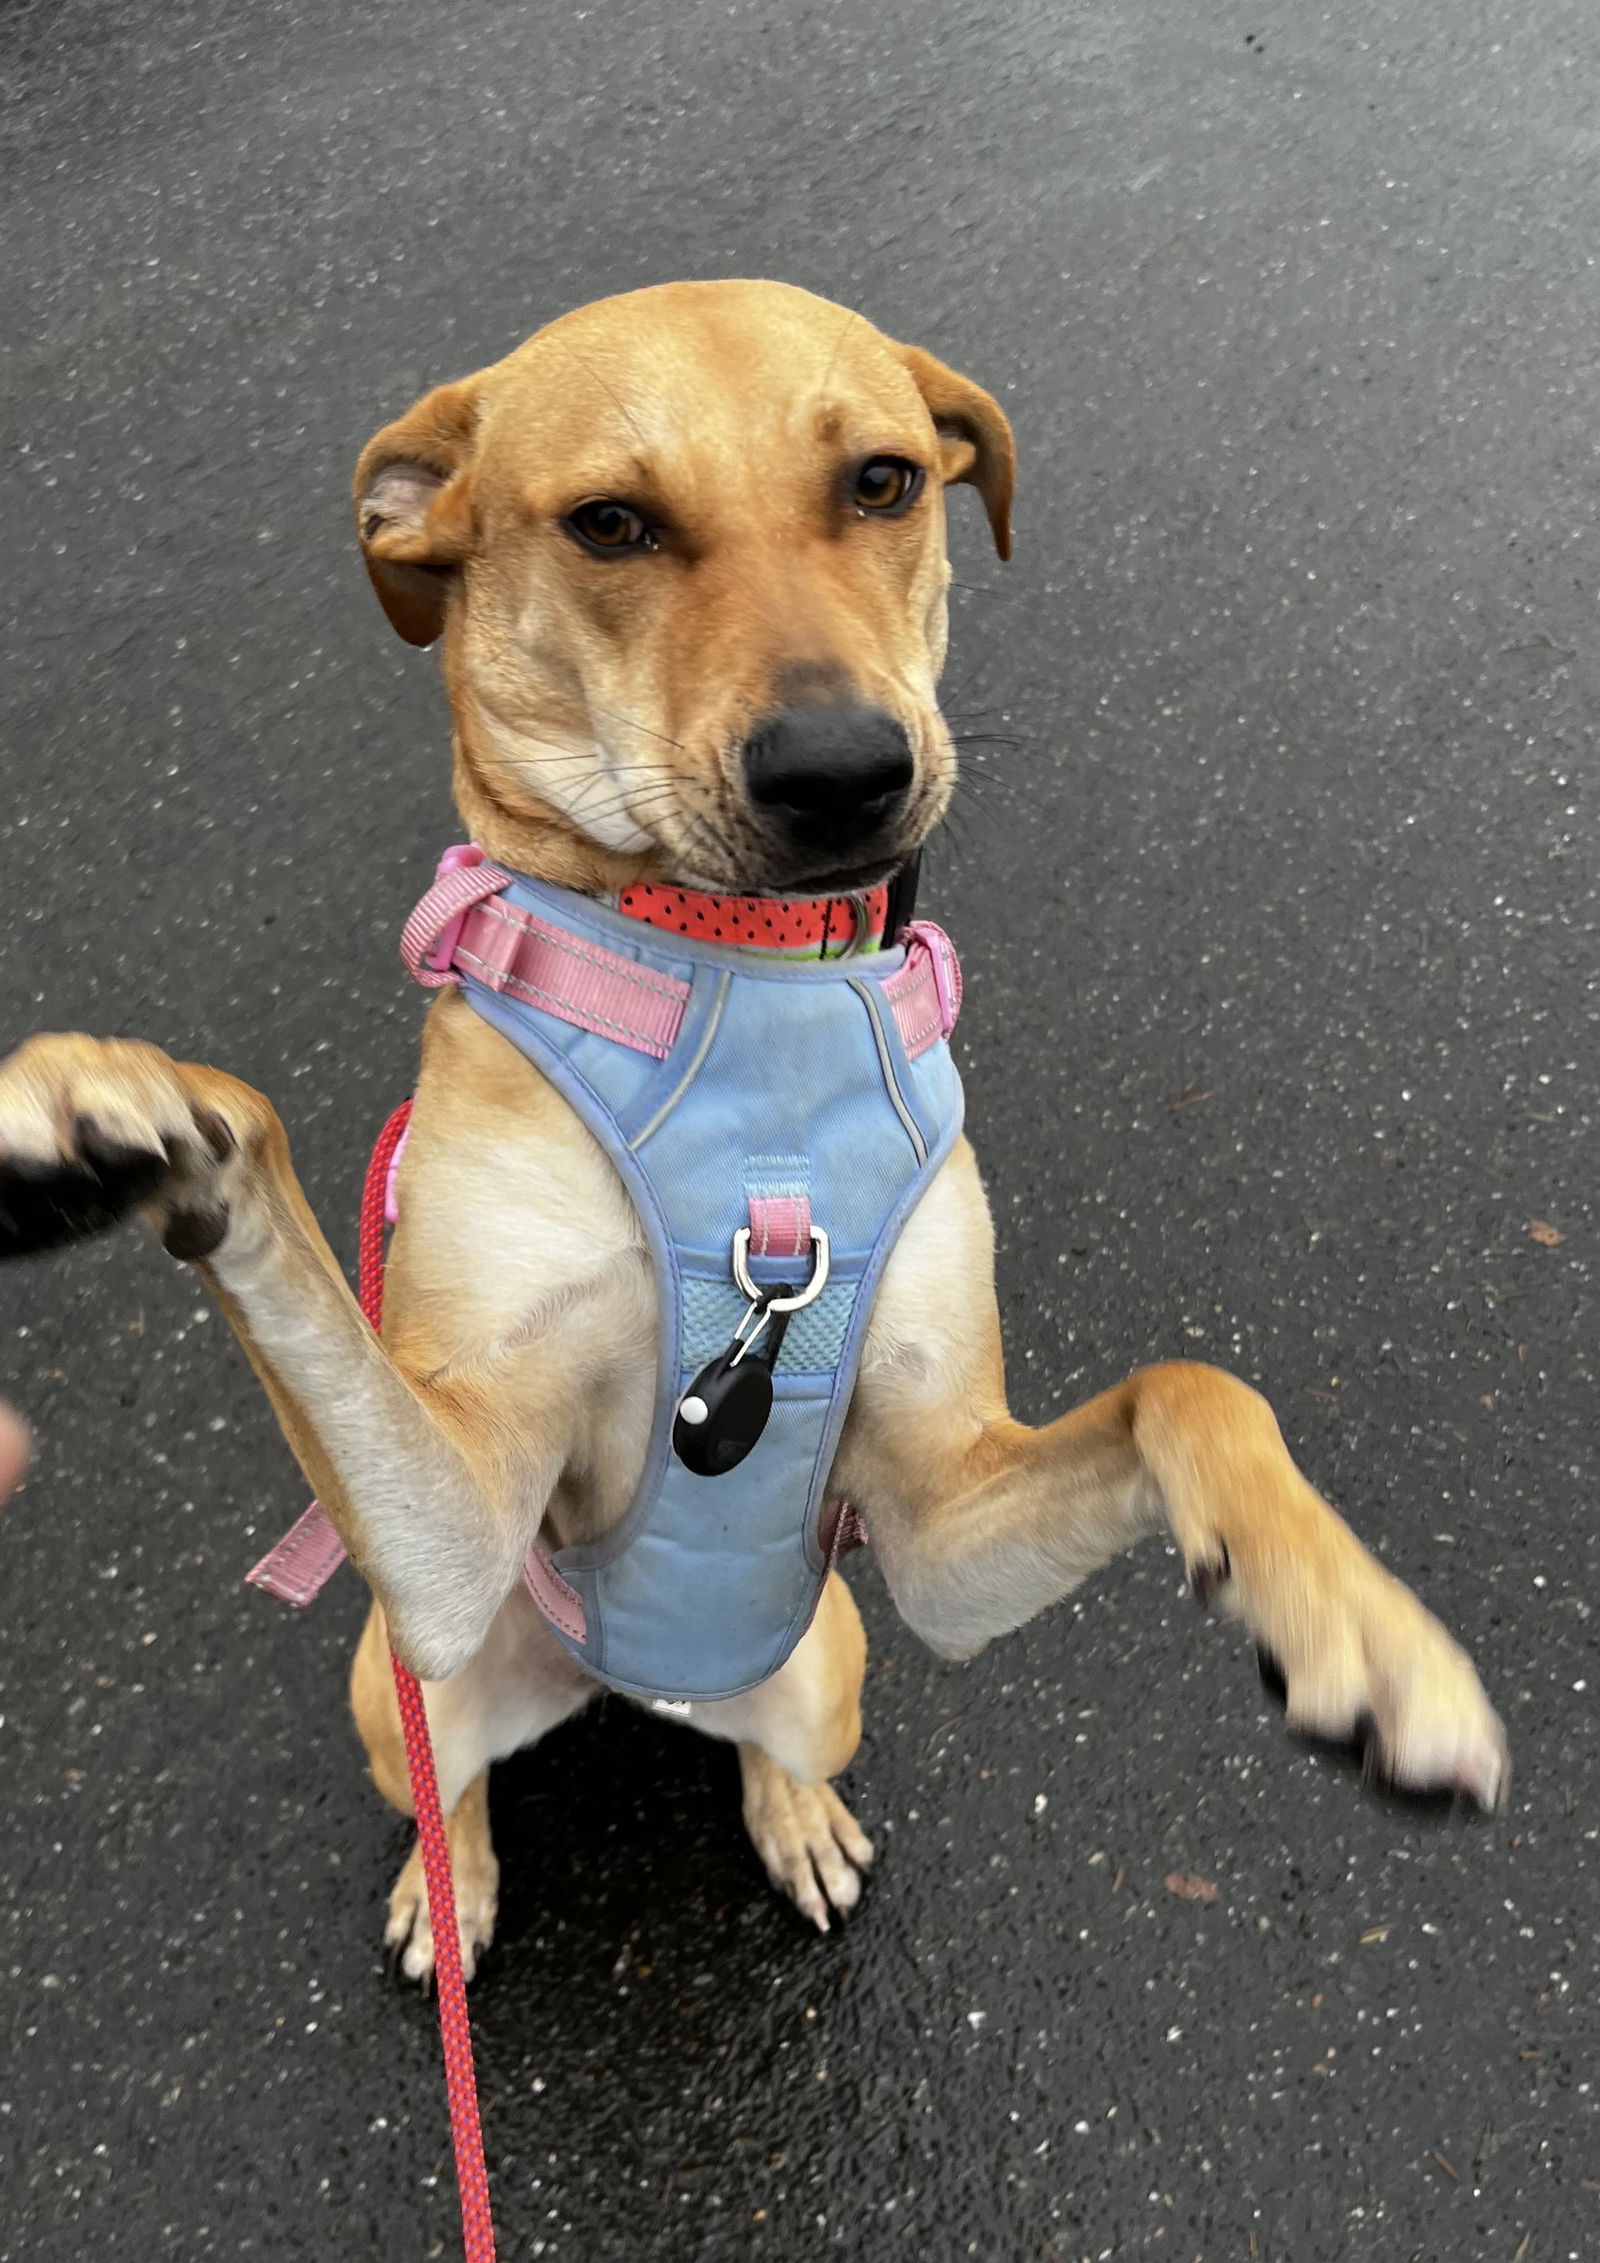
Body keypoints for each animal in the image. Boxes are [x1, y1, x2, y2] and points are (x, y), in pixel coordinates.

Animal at [0, 282, 1511, 1982]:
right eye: (610, 522)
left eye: (885, 481)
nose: (844, 772)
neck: (746, 989)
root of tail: (628, 1680)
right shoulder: (460, 1517)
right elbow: (253, 1146)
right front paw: (125, 1102)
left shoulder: (936, 1533)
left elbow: (1194, 1384)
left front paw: (1362, 1631)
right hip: (403, 1672)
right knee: (451, 1781)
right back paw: (449, 1883)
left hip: (831, 1660)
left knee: (770, 1743)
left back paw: (797, 1812)